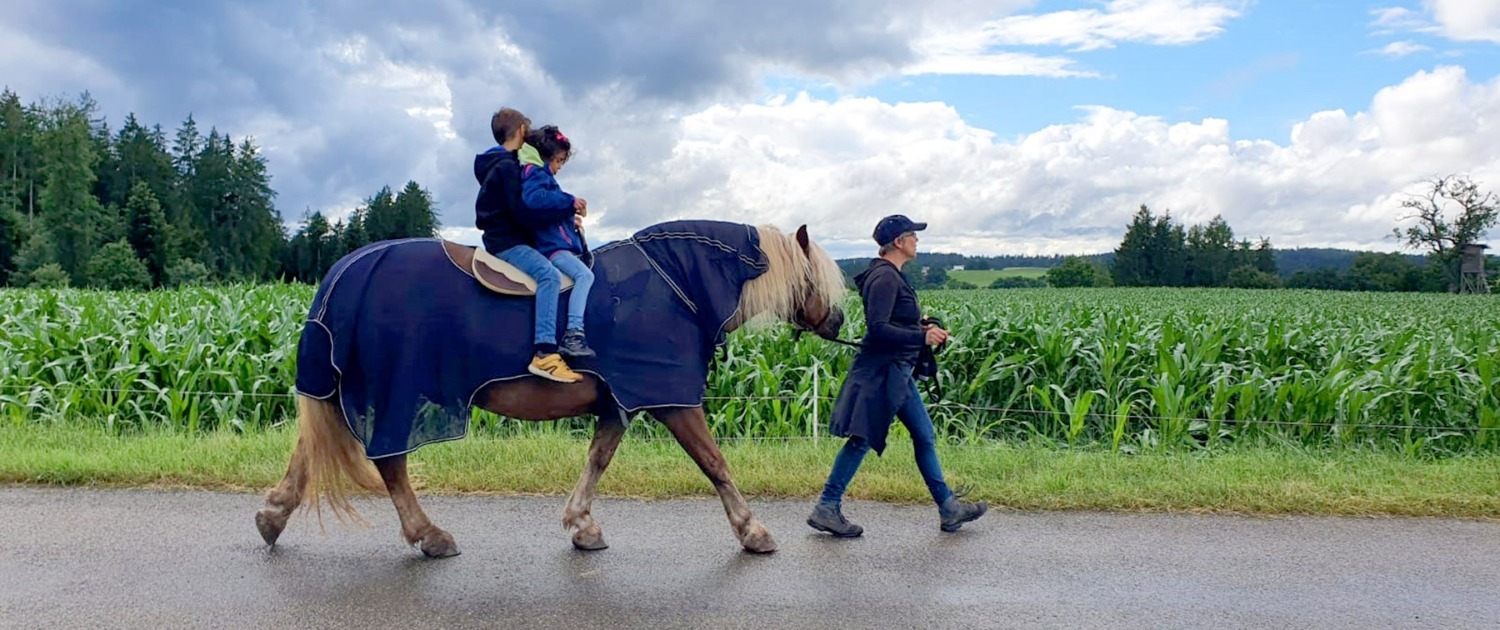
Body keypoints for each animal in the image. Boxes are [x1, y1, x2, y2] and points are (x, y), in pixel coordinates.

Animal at [252, 220, 852, 555]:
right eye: (816, 277)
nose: (840, 323)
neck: (675, 284)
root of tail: (347, 270)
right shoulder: (671, 401)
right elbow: (715, 463)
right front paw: (753, 532)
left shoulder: (618, 402)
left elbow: (598, 460)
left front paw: (582, 526)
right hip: (397, 394)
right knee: (390, 462)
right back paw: (429, 535)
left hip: (337, 393)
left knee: (309, 453)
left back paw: (272, 517)